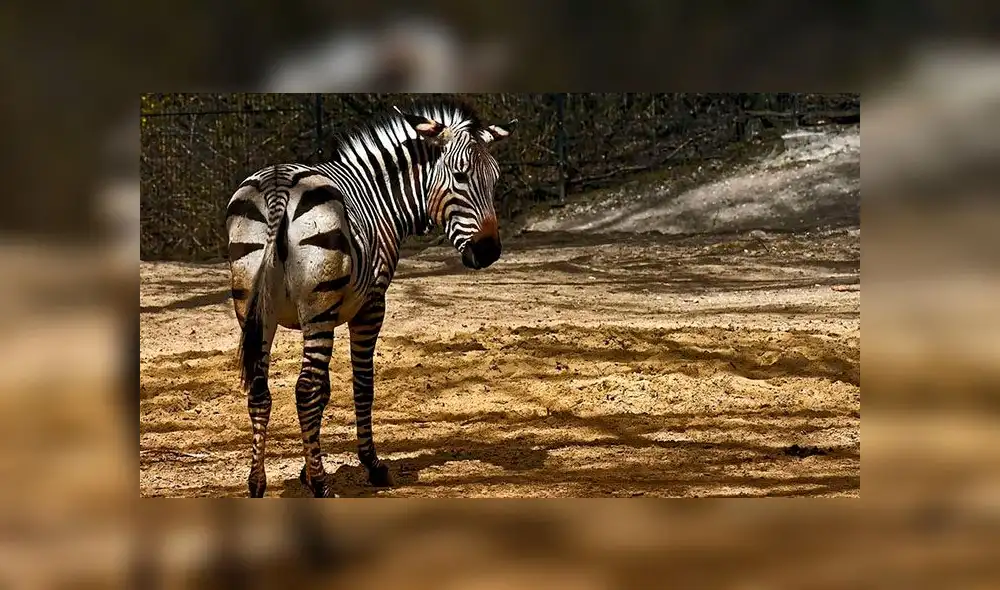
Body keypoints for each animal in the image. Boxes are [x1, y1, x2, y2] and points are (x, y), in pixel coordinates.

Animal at [225, 99, 515, 497]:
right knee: (304, 389)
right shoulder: (370, 305)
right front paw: (370, 466)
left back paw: (257, 482)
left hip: (253, 308)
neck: (380, 197)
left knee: (260, 389)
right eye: (459, 177)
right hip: (317, 307)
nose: (489, 252)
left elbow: (326, 391)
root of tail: (278, 185)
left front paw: (306, 469)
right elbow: (362, 385)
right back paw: (321, 487)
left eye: (495, 179)